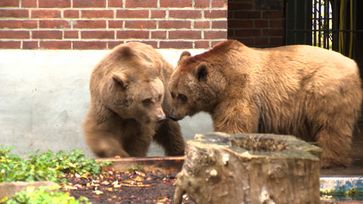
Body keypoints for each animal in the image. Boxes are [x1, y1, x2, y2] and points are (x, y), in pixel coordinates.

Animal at [169, 39, 362, 167]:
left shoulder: (239, 91)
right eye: (172, 92)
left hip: (325, 90)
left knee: (331, 125)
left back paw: (328, 159)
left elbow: (234, 122)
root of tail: (353, 64)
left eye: (182, 95)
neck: (222, 84)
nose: (172, 115)